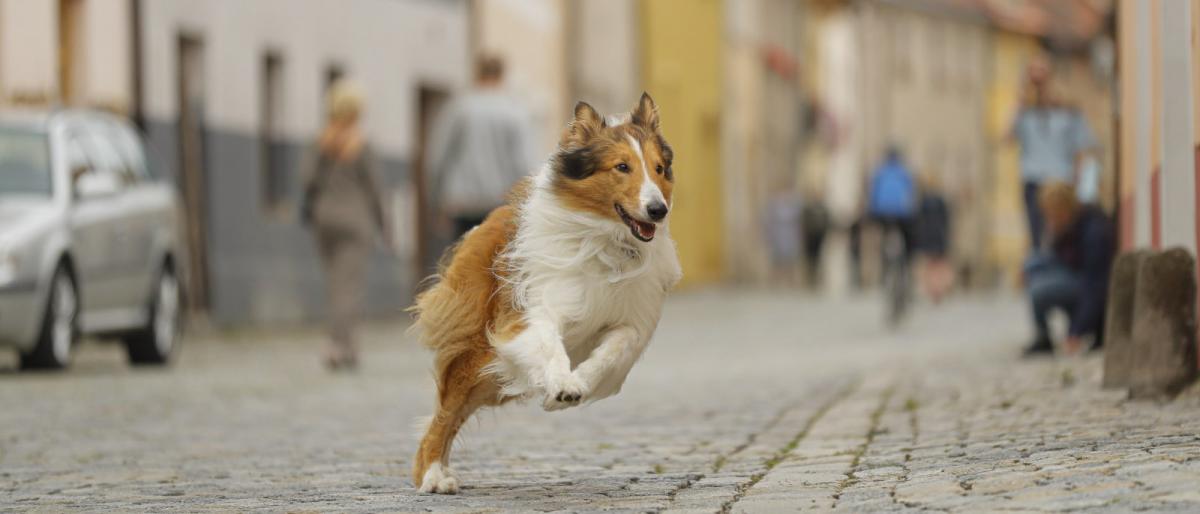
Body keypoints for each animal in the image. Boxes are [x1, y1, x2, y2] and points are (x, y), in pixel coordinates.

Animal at [410, 93, 676, 494]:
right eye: (622, 166)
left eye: (659, 168)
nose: (658, 210)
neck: (605, 240)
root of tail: (482, 225)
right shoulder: (530, 312)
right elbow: (549, 346)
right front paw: (563, 385)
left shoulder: (631, 321)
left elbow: (613, 353)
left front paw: (570, 390)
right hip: (477, 353)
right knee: (444, 414)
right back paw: (432, 475)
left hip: (491, 378)